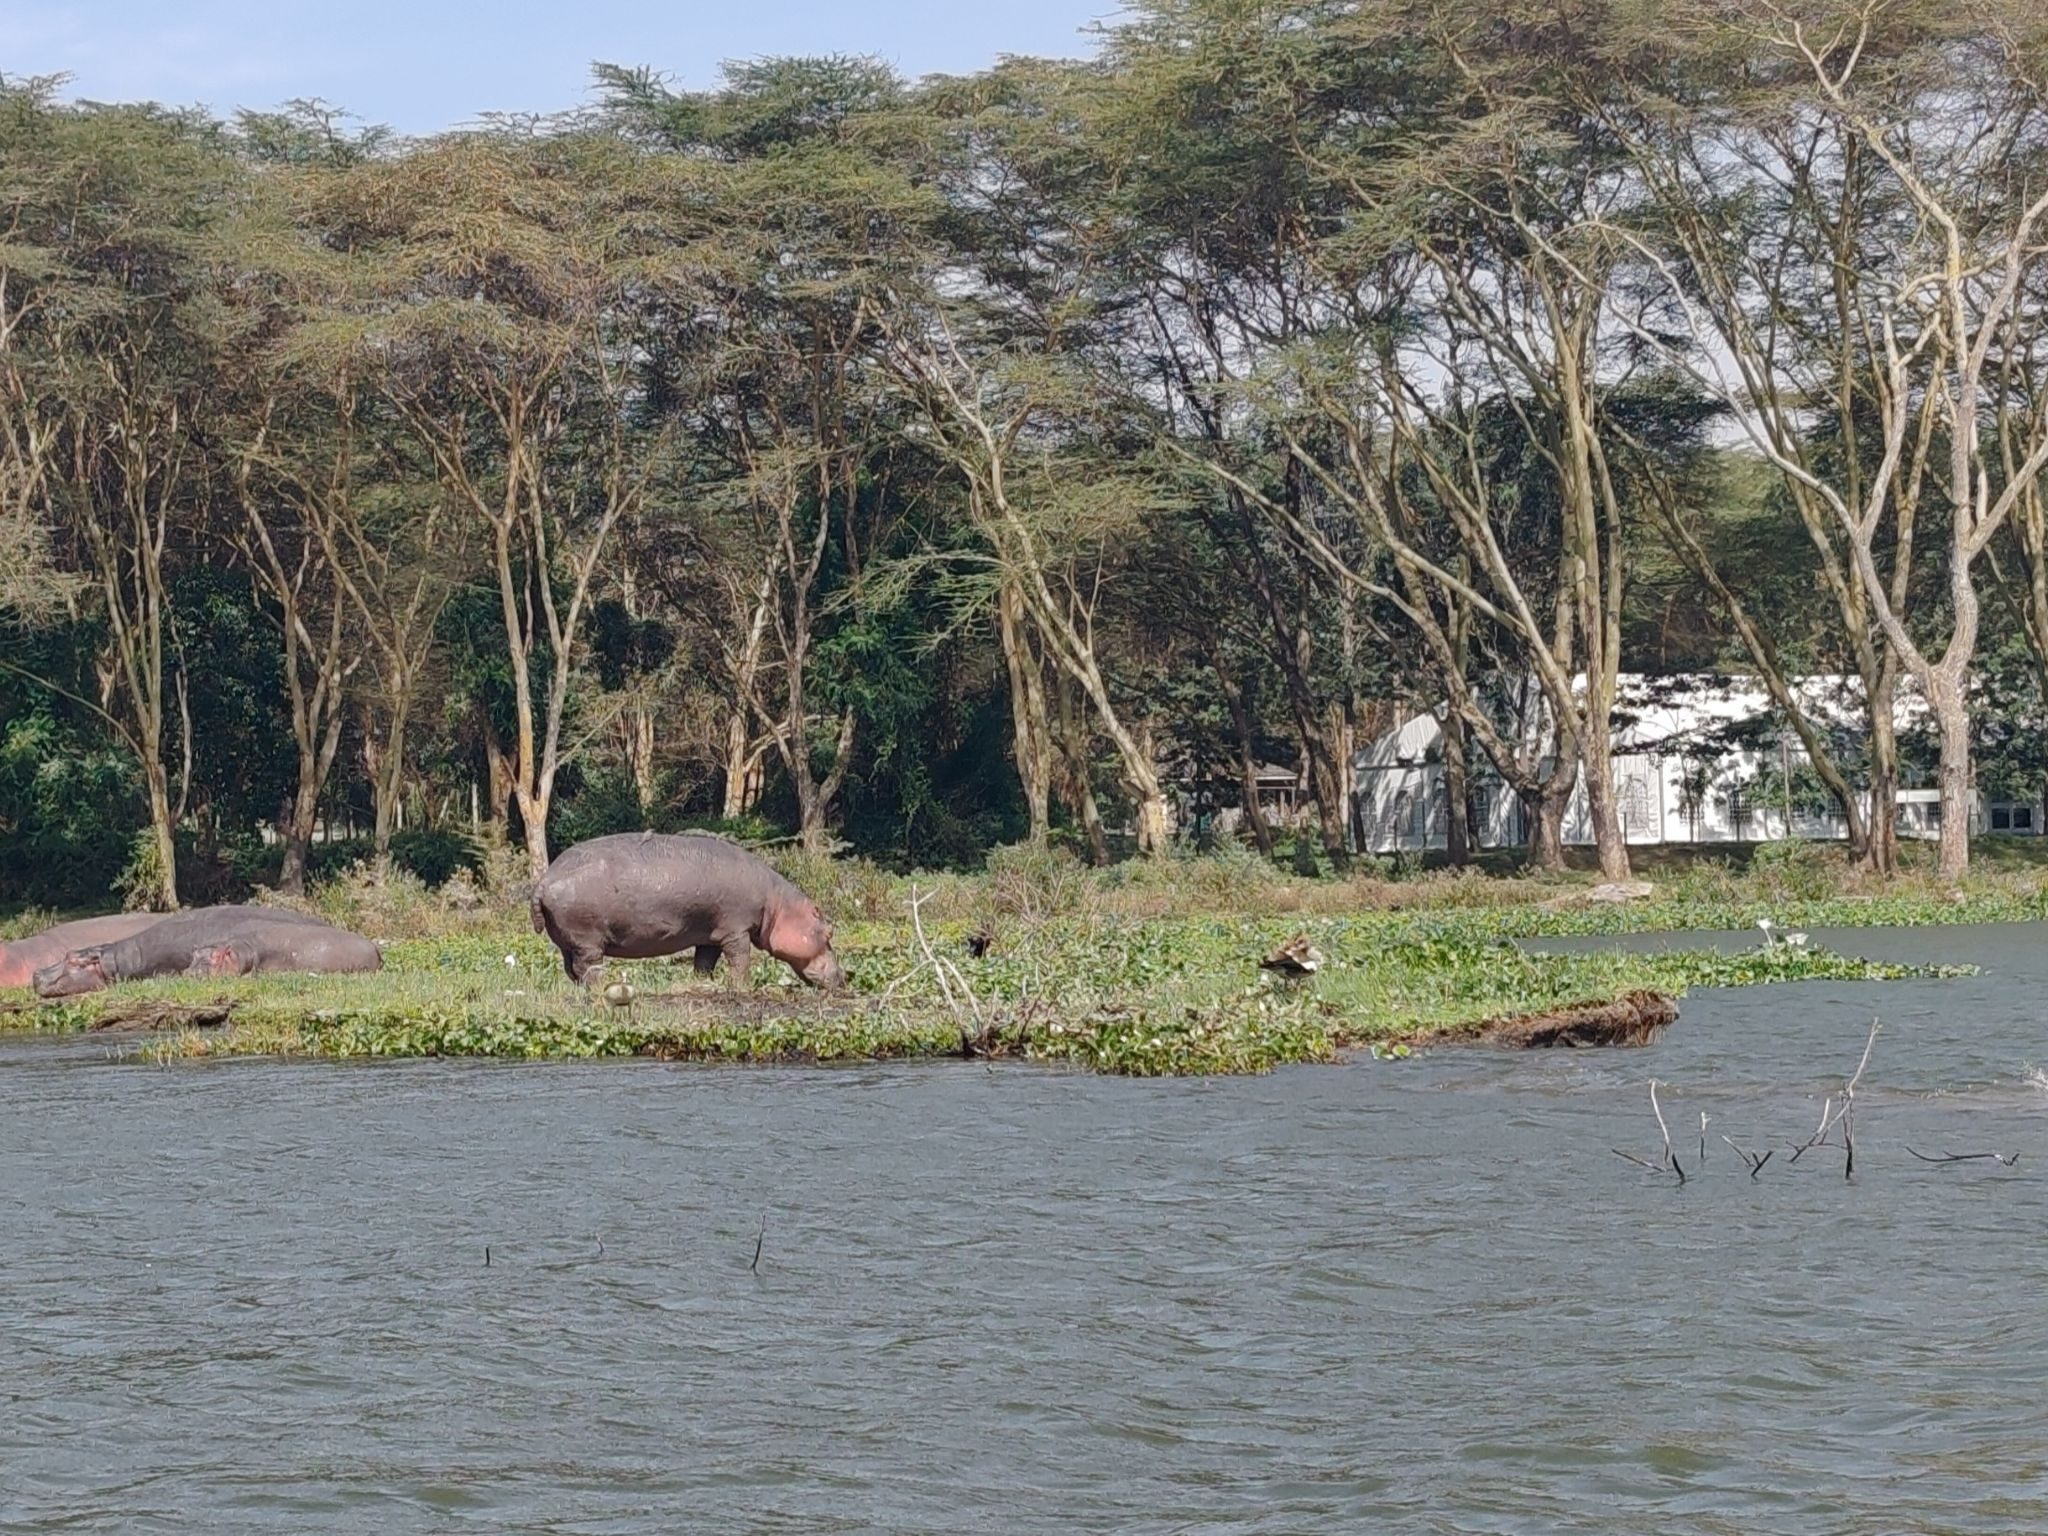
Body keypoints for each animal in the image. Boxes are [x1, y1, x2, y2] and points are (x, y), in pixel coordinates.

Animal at [531, 832, 847, 990]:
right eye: (829, 932)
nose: (844, 977)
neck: (777, 904)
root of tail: (545, 880)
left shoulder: (711, 935)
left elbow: (704, 962)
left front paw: (703, 983)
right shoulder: (736, 929)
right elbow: (740, 959)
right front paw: (741, 987)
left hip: (567, 942)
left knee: (571, 969)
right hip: (587, 941)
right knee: (588, 967)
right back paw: (600, 988)